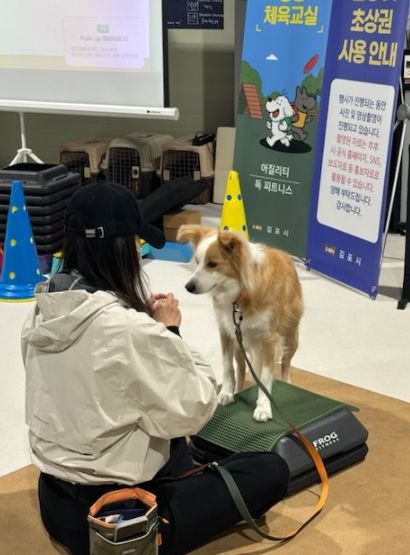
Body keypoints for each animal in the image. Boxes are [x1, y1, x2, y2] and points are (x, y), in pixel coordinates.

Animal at [177, 225, 304, 422]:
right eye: (197, 262)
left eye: (212, 264)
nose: (188, 287)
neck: (239, 295)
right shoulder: (226, 331)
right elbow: (228, 368)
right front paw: (227, 393)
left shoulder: (270, 339)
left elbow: (266, 377)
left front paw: (263, 407)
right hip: (240, 344)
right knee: (242, 369)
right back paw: (237, 390)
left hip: (290, 338)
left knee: (285, 363)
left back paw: (286, 381)